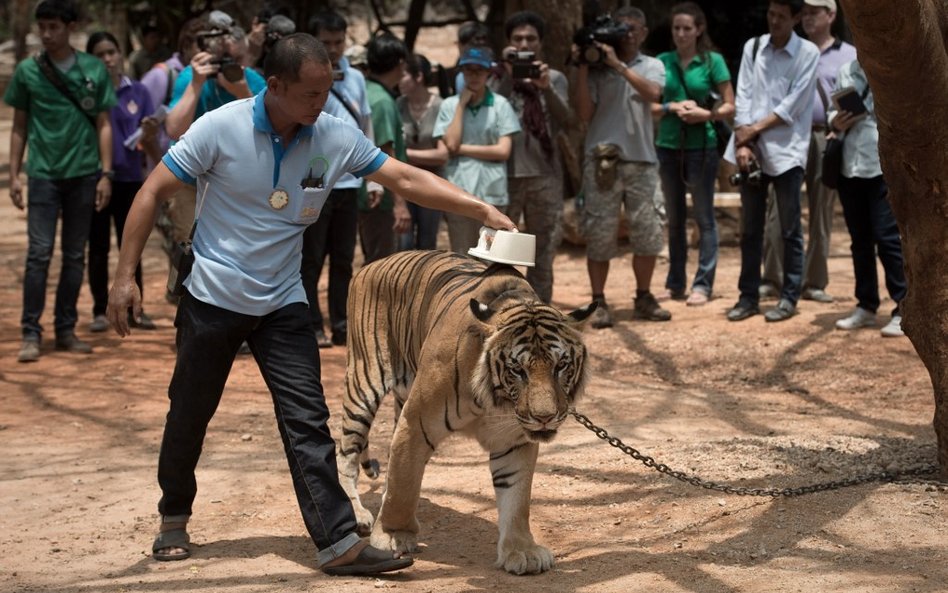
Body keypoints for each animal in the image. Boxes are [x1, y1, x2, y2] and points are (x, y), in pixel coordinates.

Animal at [336, 250, 592, 572]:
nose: (544, 417)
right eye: (517, 370)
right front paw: (393, 536)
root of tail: (372, 264)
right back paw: (357, 514)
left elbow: (516, 497)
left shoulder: (514, 440)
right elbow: (403, 485)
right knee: (346, 454)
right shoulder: (416, 423)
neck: (496, 400)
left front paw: (522, 550)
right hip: (363, 381)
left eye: (561, 365)